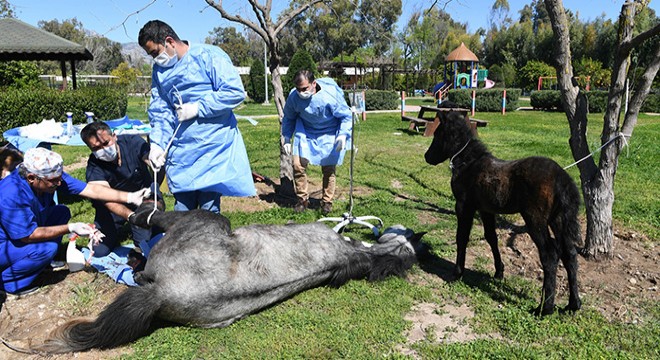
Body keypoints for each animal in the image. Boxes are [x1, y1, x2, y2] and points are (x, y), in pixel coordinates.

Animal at [36, 204, 422, 352]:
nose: (399, 227)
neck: (357, 251)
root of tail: (161, 294)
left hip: (203, 222)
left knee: (158, 223)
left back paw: (137, 221)